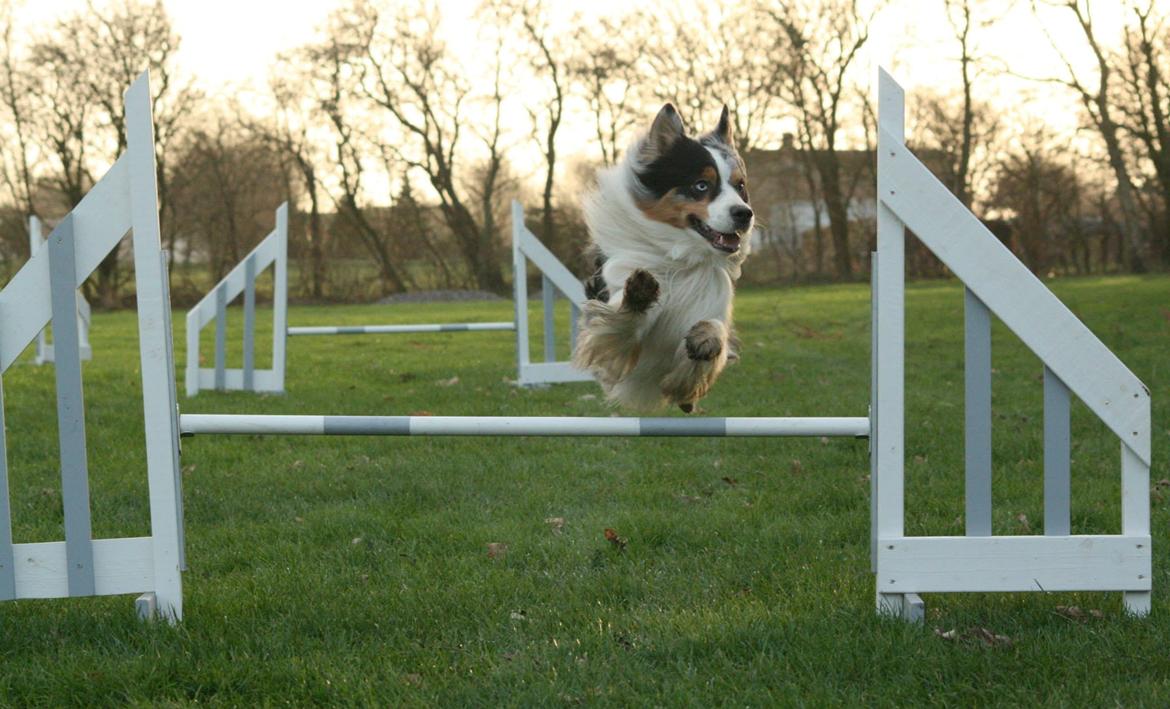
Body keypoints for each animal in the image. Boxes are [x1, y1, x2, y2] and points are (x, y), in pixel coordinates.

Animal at [570, 103, 753, 414]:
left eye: (740, 187)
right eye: (701, 185)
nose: (744, 214)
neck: (679, 257)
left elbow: (715, 332)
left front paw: (705, 340)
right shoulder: (615, 345)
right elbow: (622, 323)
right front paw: (638, 296)